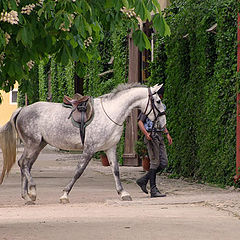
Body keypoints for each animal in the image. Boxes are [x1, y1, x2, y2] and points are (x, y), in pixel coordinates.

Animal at [0, 83, 166, 203]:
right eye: (158, 101)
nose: (163, 124)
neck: (111, 113)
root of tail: (22, 110)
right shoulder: (89, 149)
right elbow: (78, 171)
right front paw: (65, 195)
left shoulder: (110, 148)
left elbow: (116, 171)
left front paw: (123, 193)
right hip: (32, 144)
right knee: (23, 163)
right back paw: (32, 192)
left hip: (38, 145)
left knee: (26, 164)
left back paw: (27, 196)